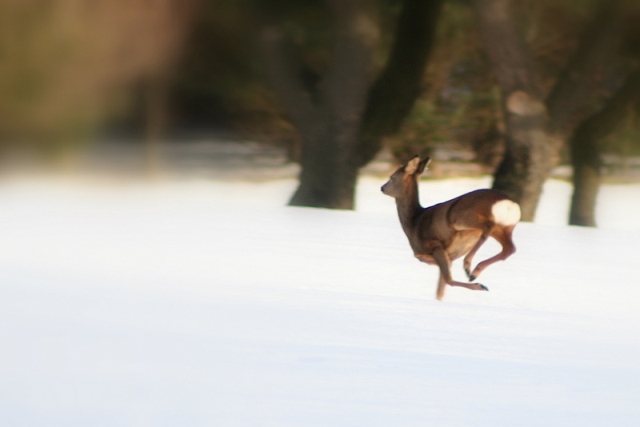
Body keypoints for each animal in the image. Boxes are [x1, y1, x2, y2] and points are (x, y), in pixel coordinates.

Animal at [381, 155, 520, 300]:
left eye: (392, 177)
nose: (382, 188)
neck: (414, 222)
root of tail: (509, 203)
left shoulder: (435, 245)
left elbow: (447, 280)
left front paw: (478, 285)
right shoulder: (449, 256)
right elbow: (440, 289)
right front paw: (439, 300)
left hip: (460, 218)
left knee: (488, 227)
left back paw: (469, 268)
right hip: (505, 227)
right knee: (509, 248)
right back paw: (474, 272)